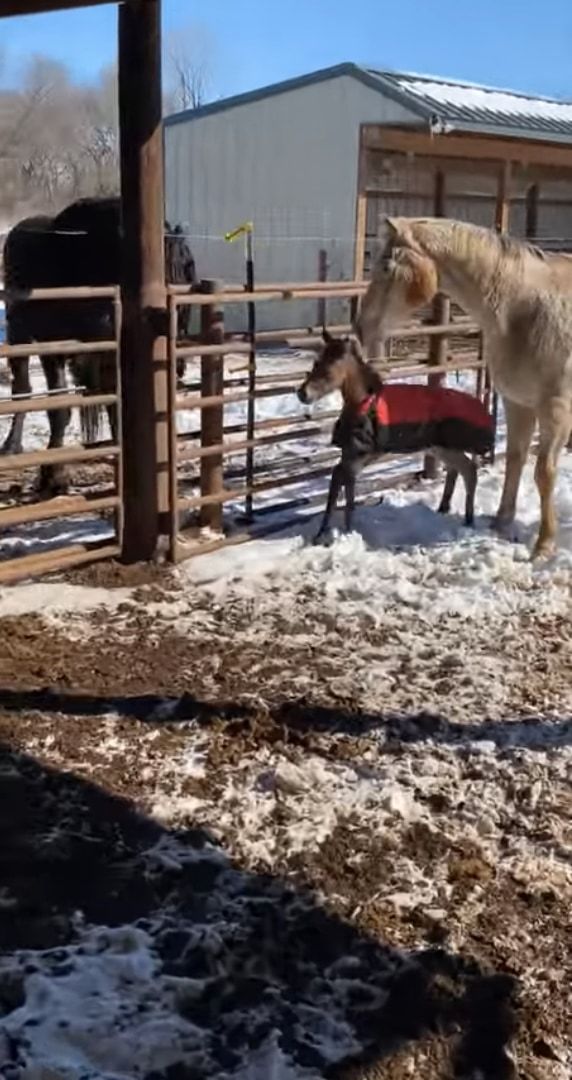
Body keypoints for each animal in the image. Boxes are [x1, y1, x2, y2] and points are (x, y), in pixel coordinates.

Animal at [2, 197, 197, 494]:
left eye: (186, 274)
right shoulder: (54, 349)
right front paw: (53, 477)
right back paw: (11, 446)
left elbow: (118, 410)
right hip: (19, 337)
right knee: (22, 389)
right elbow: (59, 410)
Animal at [295, 332, 492, 544]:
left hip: (447, 448)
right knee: (456, 470)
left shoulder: (361, 453)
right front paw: (323, 533)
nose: (302, 394)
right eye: (316, 362)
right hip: (439, 447)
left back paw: (469, 520)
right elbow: (339, 481)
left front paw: (346, 532)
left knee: (469, 471)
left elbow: (345, 486)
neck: (363, 404)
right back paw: (443, 508)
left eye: (331, 367)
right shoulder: (351, 453)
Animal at [356, 216, 569, 561]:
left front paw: (544, 544)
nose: (361, 328)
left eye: (386, 267)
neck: (523, 310)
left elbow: (544, 473)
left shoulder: (556, 410)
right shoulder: (517, 403)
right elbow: (515, 459)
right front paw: (501, 523)